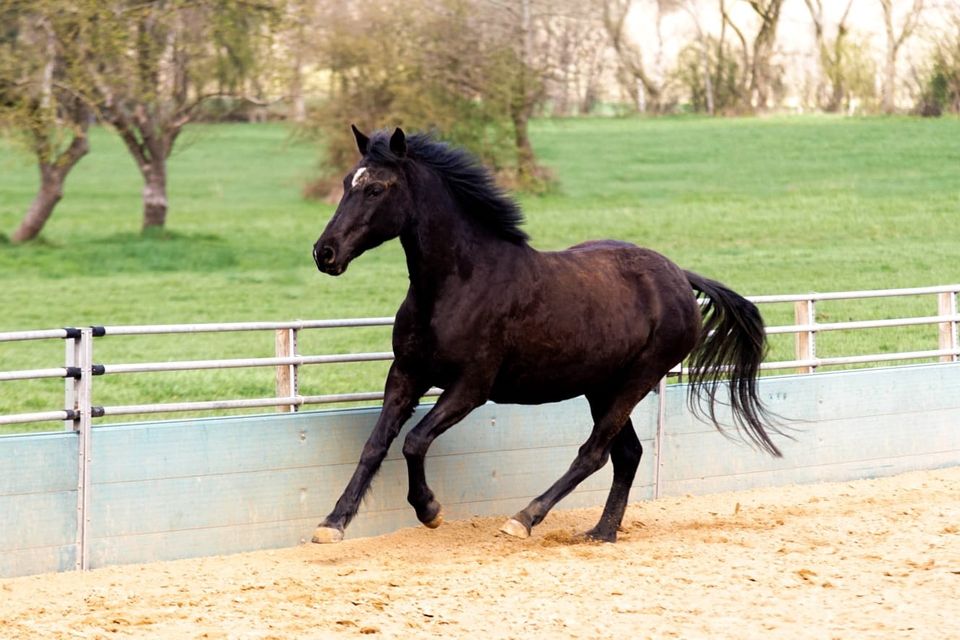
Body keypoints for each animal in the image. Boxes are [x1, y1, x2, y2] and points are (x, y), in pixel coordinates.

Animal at [312, 126, 784, 544]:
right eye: (347, 183)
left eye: (377, 189)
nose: (324, 253)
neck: (459, 284)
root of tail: (679, 276)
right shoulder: (406, 374)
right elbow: (375, 446)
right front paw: (332, 524)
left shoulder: (471, 387)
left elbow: (414, 441)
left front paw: (430, 511)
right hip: (602, 386)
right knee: (627, 455)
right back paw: (601, 532)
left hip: (636, 381)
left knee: (594, 453)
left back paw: (524, 519)